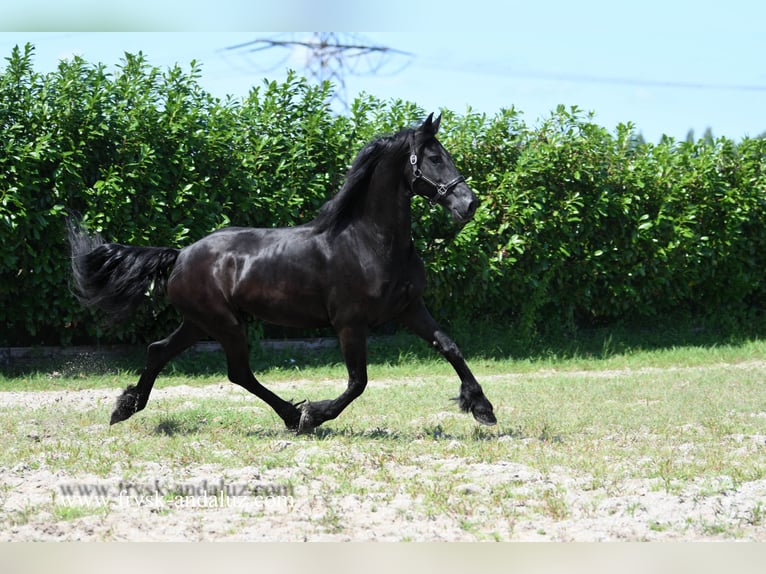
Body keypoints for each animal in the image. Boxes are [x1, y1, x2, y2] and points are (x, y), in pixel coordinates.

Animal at [66, 115, 498, 434]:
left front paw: (482, 407)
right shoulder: (350, 323)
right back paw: (294, 416)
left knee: (159, 351)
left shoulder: (410, 308)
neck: (369, 241)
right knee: (238, 371)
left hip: (200, 322)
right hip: (224, 323)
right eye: (433, 157)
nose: (469, 204)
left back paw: (125, 407)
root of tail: (181, 254)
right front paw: (315, 415)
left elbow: (450, 346)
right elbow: (357, 382)